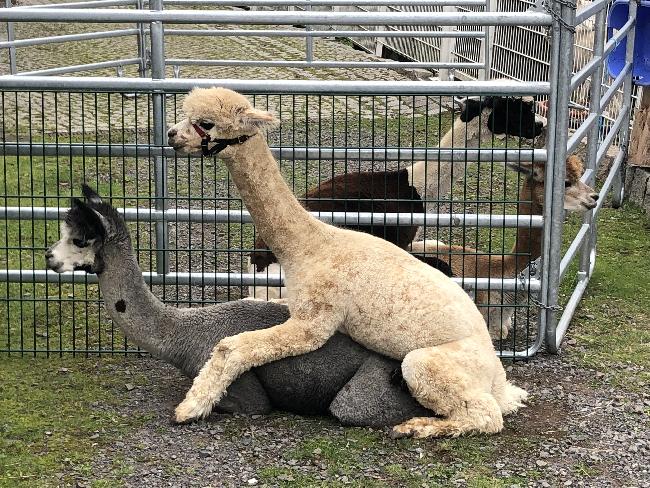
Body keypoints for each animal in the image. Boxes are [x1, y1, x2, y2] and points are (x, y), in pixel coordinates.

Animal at [167, 87, 528, 437]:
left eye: (205, 123)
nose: (171, 134)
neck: (310, 247)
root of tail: (498, 376)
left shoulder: (314, 320)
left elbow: (232, 346)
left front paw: (191, 407)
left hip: (428, 363)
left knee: (486, 416)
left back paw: (417, 427)